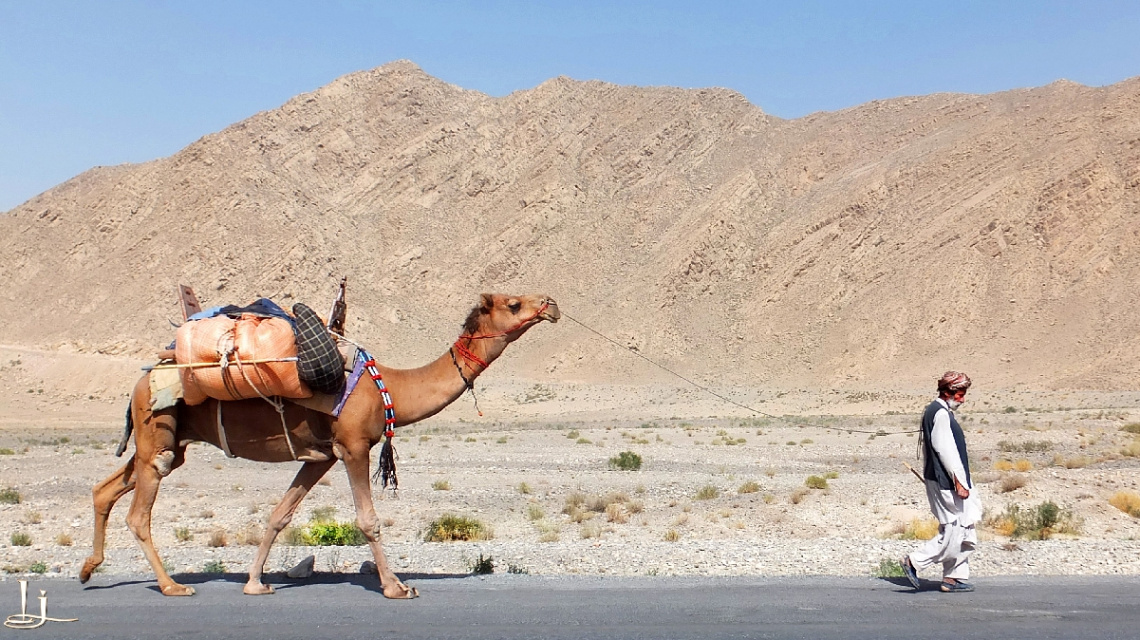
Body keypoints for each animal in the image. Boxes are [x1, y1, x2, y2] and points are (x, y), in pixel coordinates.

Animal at [80, 294, 560, 597]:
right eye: (513, 303)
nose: (551, 305)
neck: (389, 388)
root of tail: (143, 378)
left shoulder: (321, 456)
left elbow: (280, 514)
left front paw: (255, 583)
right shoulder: (353, 446)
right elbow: (368, 520)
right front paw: (396, 587)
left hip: (168, 441)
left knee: (106, 488)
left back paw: (88, 569)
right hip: (155, 431)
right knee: (139, 512)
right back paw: (172, 585)